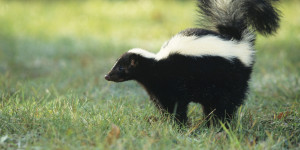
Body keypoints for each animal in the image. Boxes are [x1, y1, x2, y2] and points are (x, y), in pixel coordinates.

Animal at [104, 0, 280, 125]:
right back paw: (210, 122)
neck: (156, 64)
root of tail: (236, 41)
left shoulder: (173, 83)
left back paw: (220, 124)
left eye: (121, 68)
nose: (107, 76)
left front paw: (178, 124)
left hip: (231, 78)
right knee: (212, 105)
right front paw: (166, 122)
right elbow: (163, 105)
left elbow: (177, 105)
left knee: (226, 103)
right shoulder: (157, 90)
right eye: (116, 65)